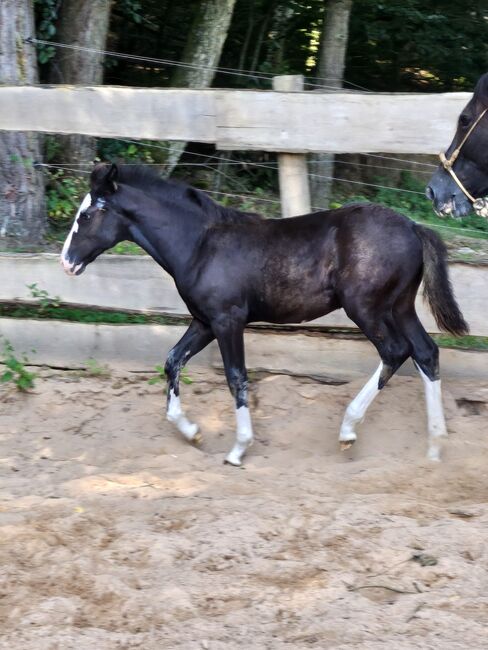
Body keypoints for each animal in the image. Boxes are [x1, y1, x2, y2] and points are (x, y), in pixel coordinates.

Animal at [62, 165, 468, 464]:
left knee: (396, 351)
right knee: (426, 352)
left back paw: (348, 431)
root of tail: (413, 227)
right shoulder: (204, 321)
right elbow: (173, 360)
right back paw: (435, 446)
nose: (67, 262)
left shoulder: (227, 320)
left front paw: (238, 449)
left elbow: (236, 378)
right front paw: (192, 433)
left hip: (366, 308)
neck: (200, 244)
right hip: (400, 307)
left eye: (89, 213)